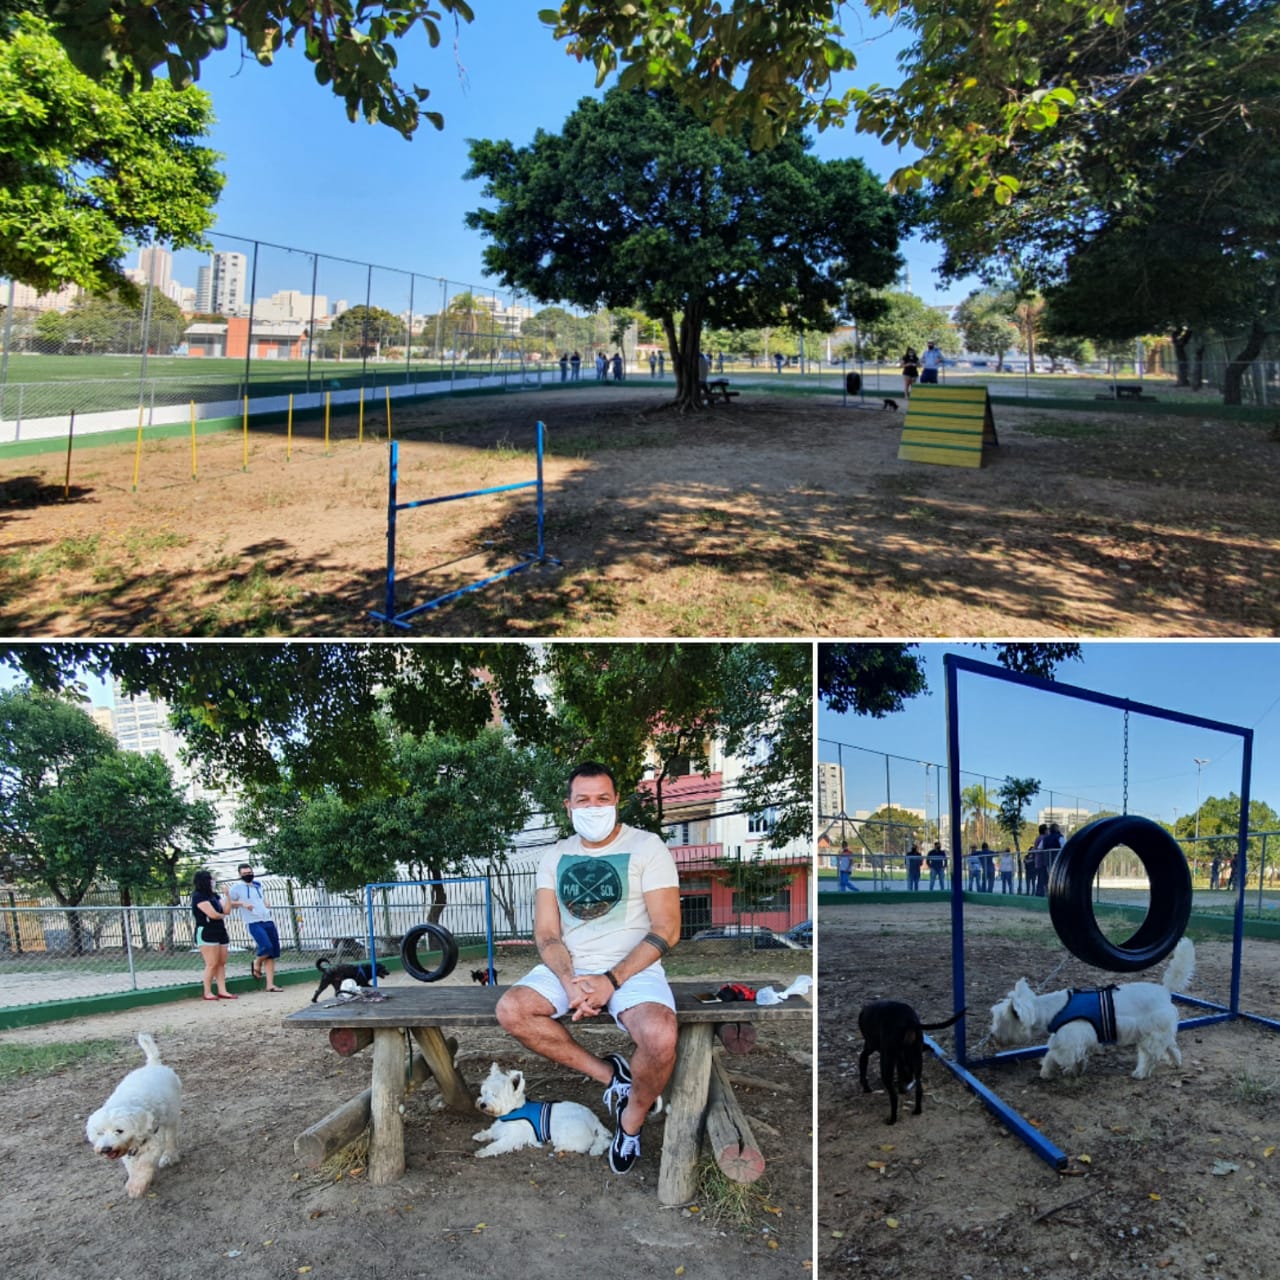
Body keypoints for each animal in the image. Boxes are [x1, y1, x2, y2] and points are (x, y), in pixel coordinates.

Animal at [86, 1029, 183, 1198]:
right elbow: (131, 1165)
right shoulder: (127, 1150)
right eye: (100, 1133)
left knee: (170, 1135)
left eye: (119, 1130)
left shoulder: (153, 1141)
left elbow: (144, 1163)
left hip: (171, 1115)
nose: (106, 1149)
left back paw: (170, 1155)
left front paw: (137, 1185)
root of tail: (153, 1065)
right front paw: (133, 1179)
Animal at [473, 1059, 611, 1162]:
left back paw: (560, 1147)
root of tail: (594, 1120)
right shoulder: (500, 1127)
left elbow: (496, 1145)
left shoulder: (512, 1137)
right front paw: (480, 1135)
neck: (513, 1110)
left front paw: (483, 1151)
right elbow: (491, 1131)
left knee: (582, 1146)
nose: (482, 1104)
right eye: (484, 1092)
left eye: (495, 1095)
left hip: (568, 1130)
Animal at [988, 936, 1198, 1075]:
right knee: (1171, 1046)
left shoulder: (1068, 1041)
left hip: (1151, 1034)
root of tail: (1165, 990)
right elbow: (1077, 1056)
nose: (993, 1035)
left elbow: (1054, 1055)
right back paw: (1176, 1063)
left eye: (1000, 1020)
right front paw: (1077, 1069)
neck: (1052, 1009)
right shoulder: (1080, 1041)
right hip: (1160, 1032)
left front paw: (1048, 1071)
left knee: (1150, 1056)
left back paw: (1140, 1074)